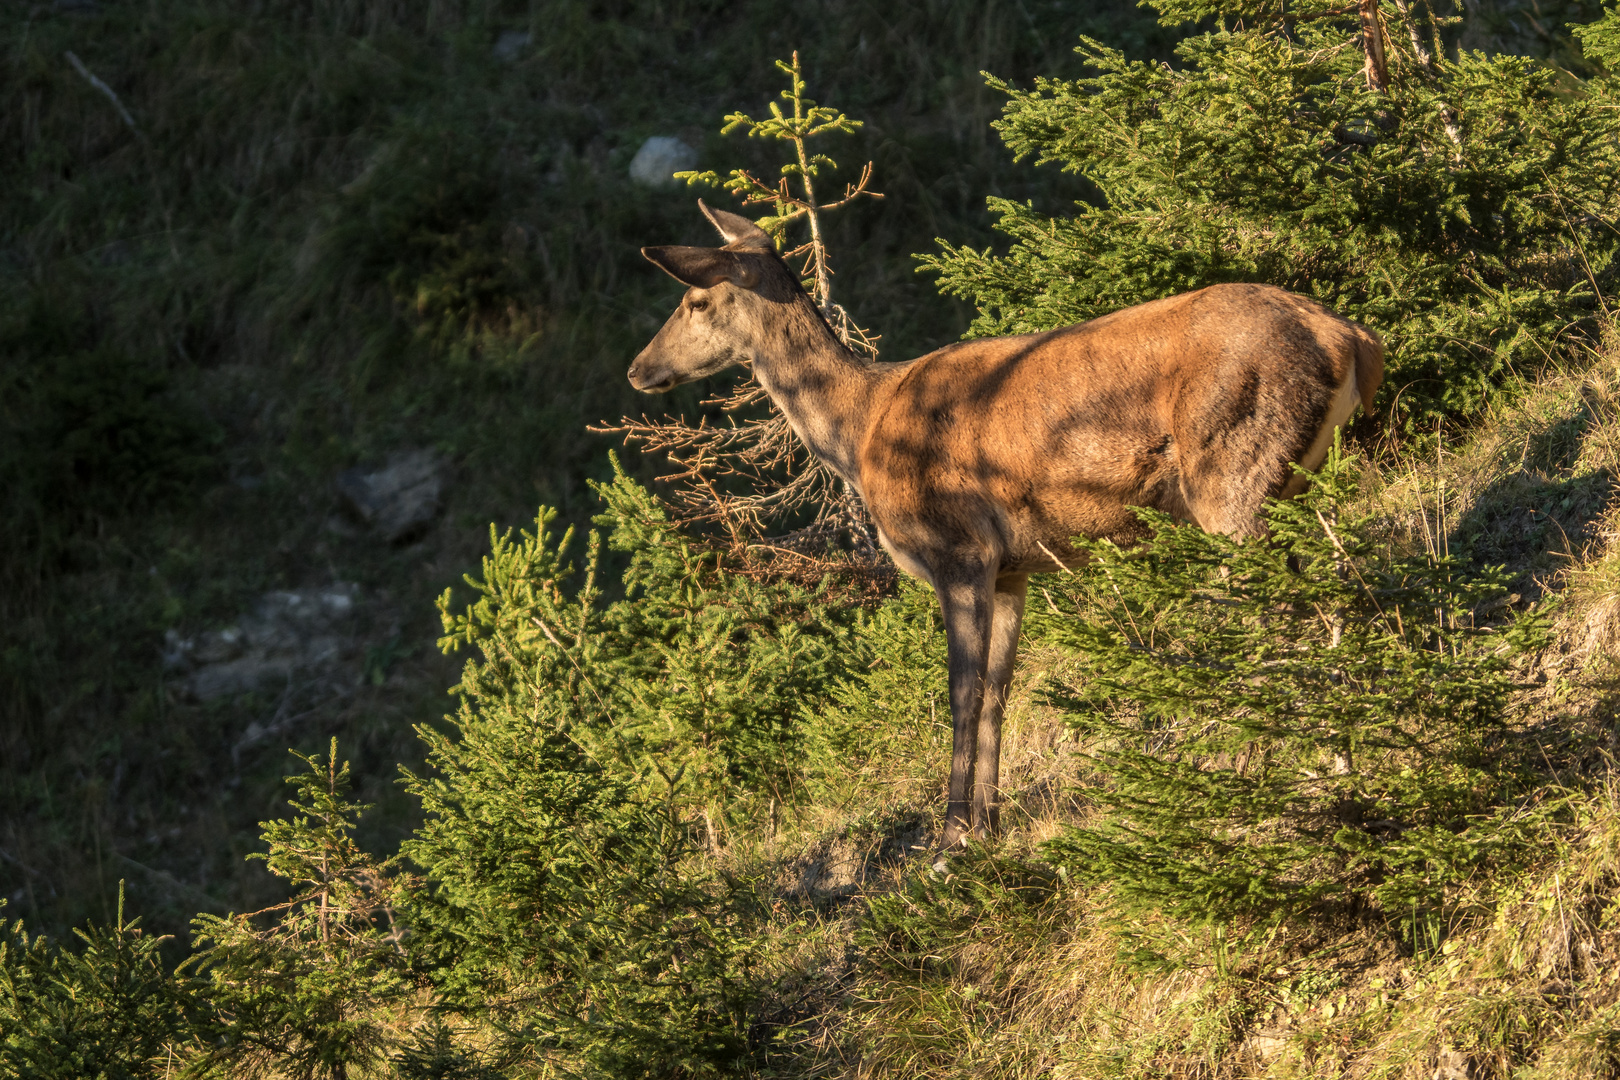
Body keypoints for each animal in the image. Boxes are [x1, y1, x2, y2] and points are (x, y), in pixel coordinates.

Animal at [625, 198, 1386, 848]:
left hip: (1232, 478)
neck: (861, 429)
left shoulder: (957, 548)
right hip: (1300, 483)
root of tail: (1351, 337)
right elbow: (996, 693)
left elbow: (960, 693)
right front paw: (988, 828)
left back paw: (1268, 775)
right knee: (1338, 598)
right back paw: (1339, 765)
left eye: (694, 300)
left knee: (1282, 616)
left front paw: (947, 838)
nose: (637, 369)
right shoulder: (1014, 568)